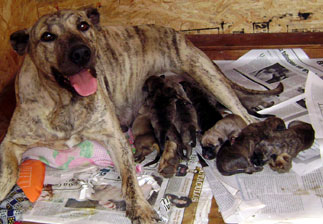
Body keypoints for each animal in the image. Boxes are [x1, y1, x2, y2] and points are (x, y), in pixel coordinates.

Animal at [1, 7, 256, 223]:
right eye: (47, 36)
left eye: (83, 26)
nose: (82, 53)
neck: (64, 101)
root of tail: (175, 32)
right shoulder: (10, 143)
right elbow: (9, 172)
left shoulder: (115, 138)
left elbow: (129, 180)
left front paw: (140, 207)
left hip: (207, 76)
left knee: (246, 116)